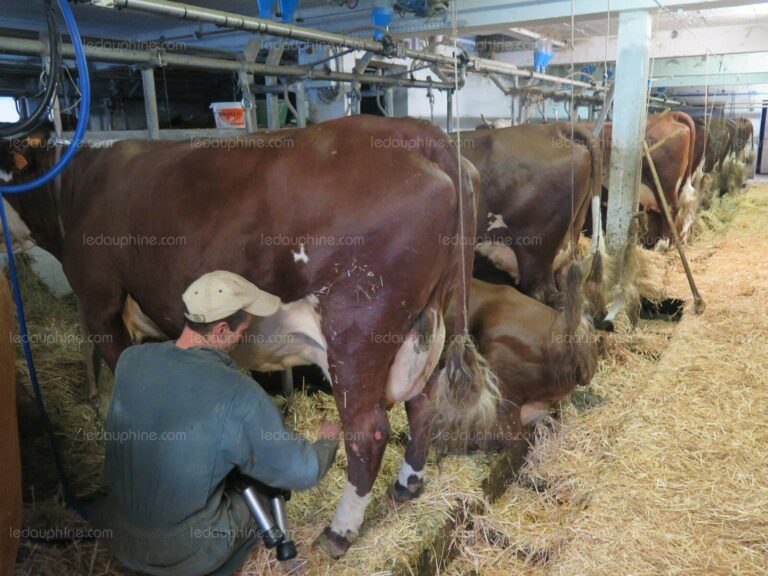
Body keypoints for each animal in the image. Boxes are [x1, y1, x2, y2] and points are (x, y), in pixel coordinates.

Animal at [0, 115, 501, 559]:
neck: (72, 186)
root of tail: (422, 134)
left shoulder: (100, 304)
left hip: (356, 328)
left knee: (367, 430)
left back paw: (337, 534)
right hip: (428, 324)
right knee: (423, 402)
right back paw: (407, 485)